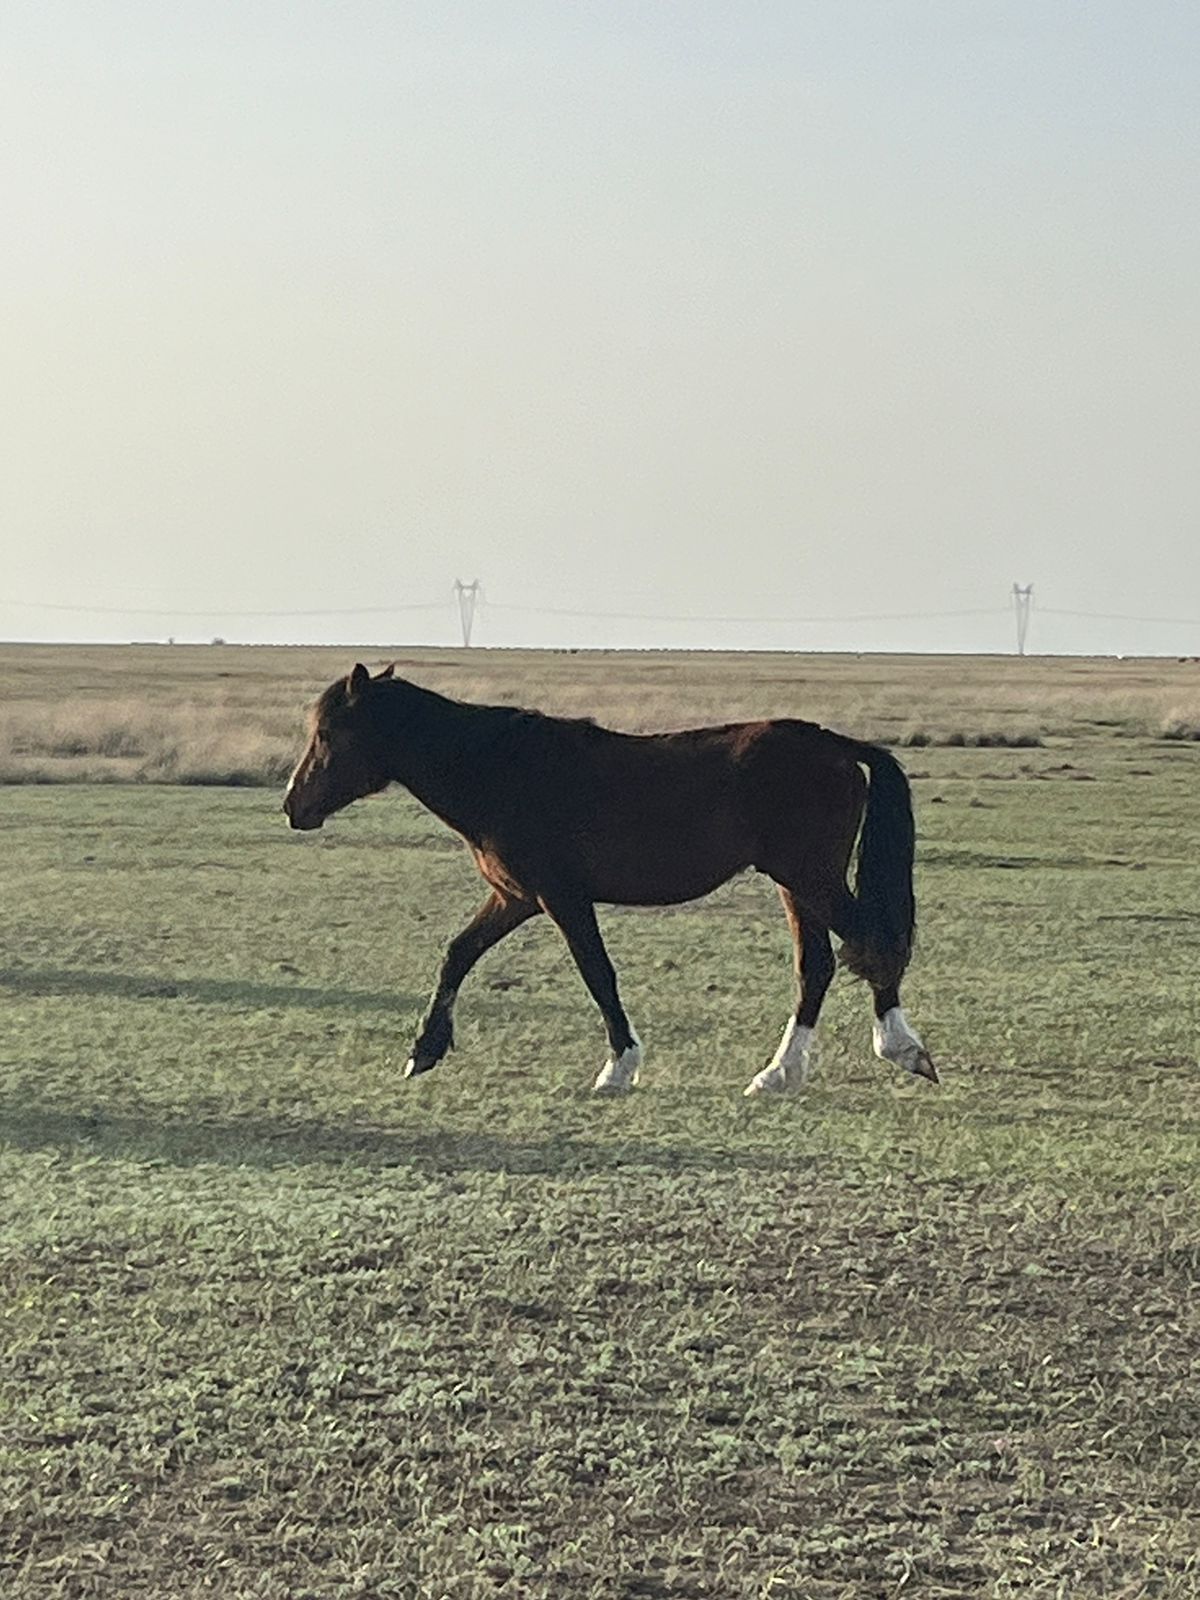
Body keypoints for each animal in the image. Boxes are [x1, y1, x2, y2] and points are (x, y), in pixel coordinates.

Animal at [284, 665, 940, 1100]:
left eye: (327, 735)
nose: (293, 806)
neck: (502, 769)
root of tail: (835, 744)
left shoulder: (561, 898)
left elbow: (597, 973)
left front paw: (619, 1066)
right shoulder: (515, 898)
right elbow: (458, 954)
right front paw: (424, 1050)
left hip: (809, 877)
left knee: (874, 945)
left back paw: (902, 1050)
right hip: (796, 884)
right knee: (819, 966)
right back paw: (779, 1073)